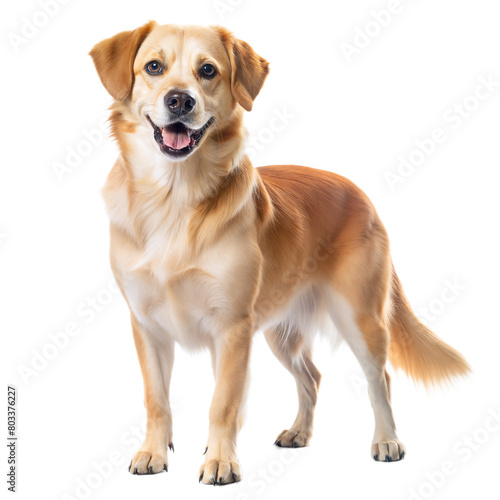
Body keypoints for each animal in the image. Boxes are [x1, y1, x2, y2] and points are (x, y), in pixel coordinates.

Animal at [89, 22, 468, 484]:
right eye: (154, 67)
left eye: (208, 70)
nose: (180, 99)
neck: (174, 198)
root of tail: (361, 194)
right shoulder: (148, 326)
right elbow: (157, 399)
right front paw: (153, 453)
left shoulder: (232, 328)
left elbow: (223, 403)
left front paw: (220, 461)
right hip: (279, 332)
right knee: (312, 377)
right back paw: (299, 432)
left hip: (359, 318)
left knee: (381, 378)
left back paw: (387, 441)